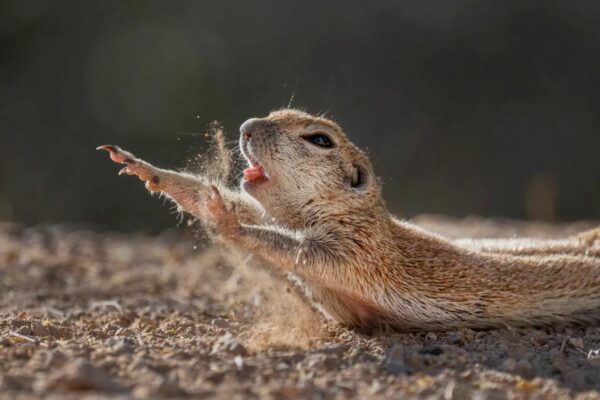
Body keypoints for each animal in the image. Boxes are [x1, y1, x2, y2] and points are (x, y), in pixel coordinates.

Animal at [98, 108, 600, 332]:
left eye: (319, 139)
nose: (244, 127)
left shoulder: (358, 252)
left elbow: (298, 251)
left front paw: (227, 223)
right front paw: (152, 172)